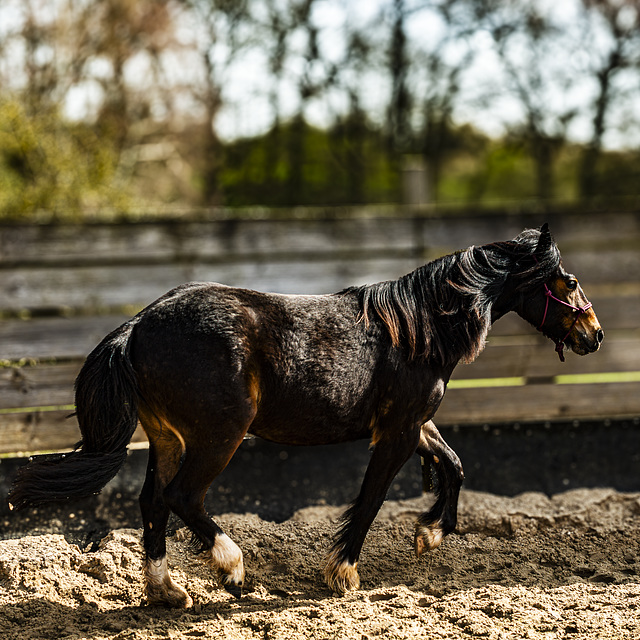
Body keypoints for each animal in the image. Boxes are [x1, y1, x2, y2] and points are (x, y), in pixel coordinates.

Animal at [7, 224, 604, 604]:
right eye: (570, 282)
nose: (594, 335)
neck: (419, 330)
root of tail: (139, 325)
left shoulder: (413, 425)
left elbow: (453, 466)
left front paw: (430, 534)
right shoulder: (396, 433)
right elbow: (370, 501)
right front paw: (343, 574)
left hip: (168, 438)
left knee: (153, 501)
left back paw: (166, 592)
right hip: (220, 435)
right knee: (182, 497)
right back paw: (231, 568)